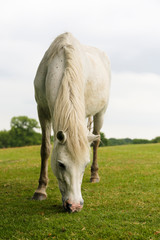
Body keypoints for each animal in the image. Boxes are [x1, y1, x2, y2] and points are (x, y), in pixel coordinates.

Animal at [32, 32, 110, 212]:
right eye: (61, 164)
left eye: (84, 165)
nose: (74, 206)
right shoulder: (42, 111)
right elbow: (45, 149)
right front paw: (40, 190)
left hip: (101, 112)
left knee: (96, 142)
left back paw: (94, 175)